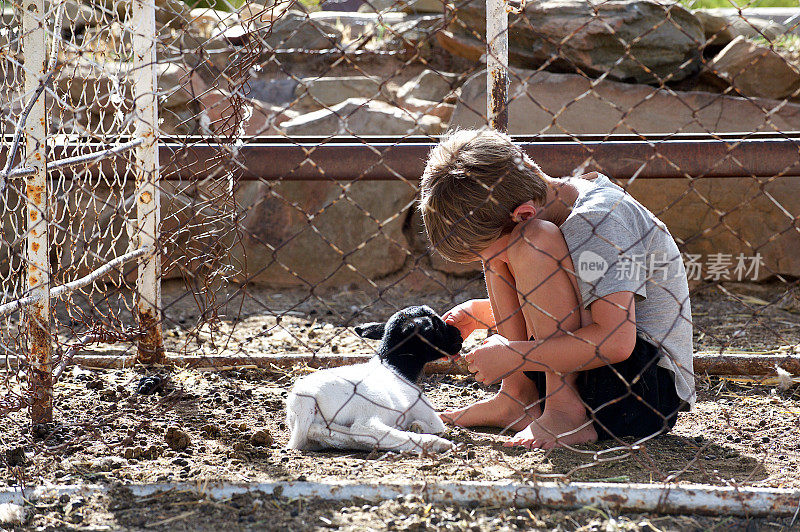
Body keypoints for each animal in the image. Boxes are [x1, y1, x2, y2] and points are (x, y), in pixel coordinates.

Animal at [286, 306, 462, 450]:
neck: (396, 367)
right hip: (372, 402)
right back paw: (436, 443)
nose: (459, 336)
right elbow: (438, 426)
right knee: (363, 429)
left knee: (325, 432)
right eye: (436, 326)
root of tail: (306, 396)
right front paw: (419, 427)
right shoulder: (425, 410)